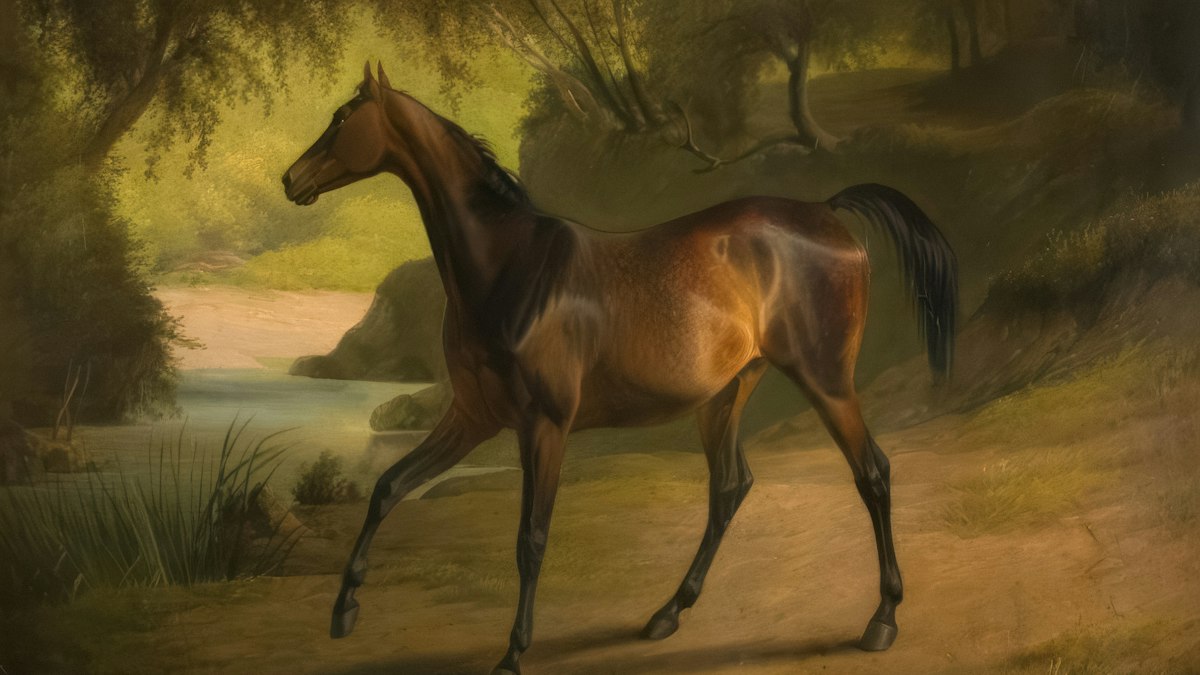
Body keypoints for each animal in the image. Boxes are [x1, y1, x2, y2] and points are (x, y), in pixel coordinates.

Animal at [283, 63, 957, 674]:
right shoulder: (472, 416)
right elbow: (388, 486)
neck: (508, 267)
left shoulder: (543, 427)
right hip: (728, 394)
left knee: (873, 473)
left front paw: (513, 653)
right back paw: (667, 613)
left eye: (342, 117)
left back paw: (882, 620)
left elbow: (530, 538)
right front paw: (344, 610)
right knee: (729, 487)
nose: (292, 179)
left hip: (826, 381)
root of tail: (828, 211)